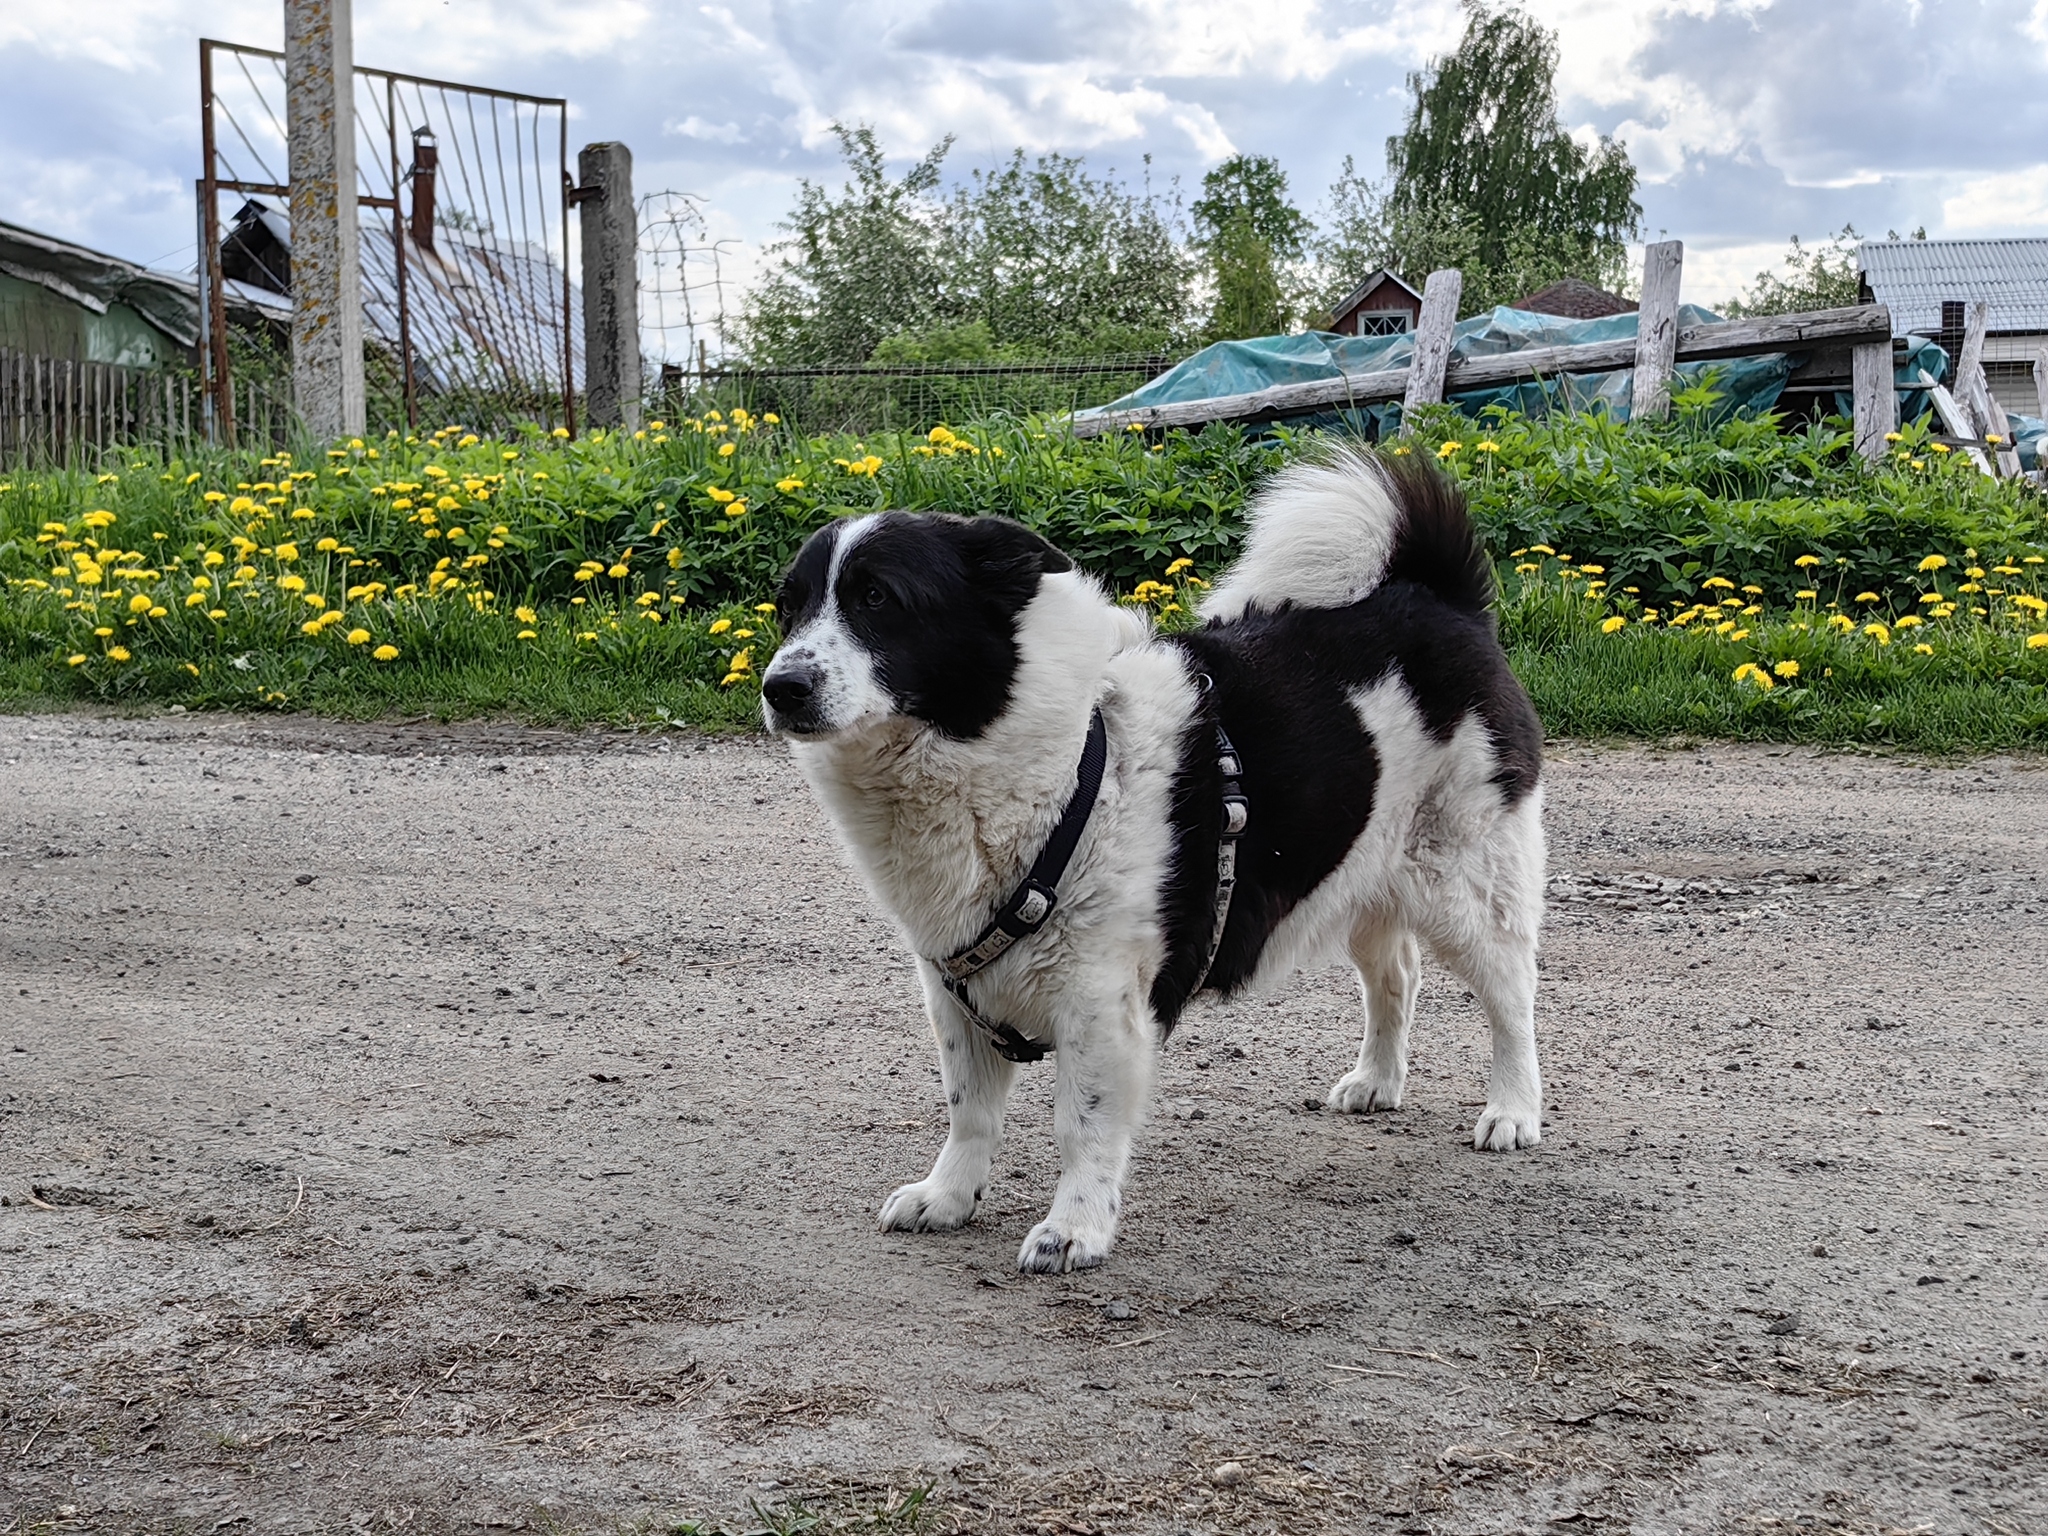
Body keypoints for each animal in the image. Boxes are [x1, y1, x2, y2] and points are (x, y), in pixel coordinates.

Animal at [761, 444, 1540, 1277]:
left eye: (879, 598)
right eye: (788, 607)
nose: (782, 686)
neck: (1053, 762)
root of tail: (1436, 596)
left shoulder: (1101, 1001)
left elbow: (1083, 1125)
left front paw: (1075, 1227)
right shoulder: (953, 988)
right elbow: (969, 1111)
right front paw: (948, 1195)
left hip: (1467, 880)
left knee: (1510, 994)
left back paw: (1513, 1108)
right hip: (1359, 870)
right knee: (1396, 974)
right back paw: (1378, 1081)